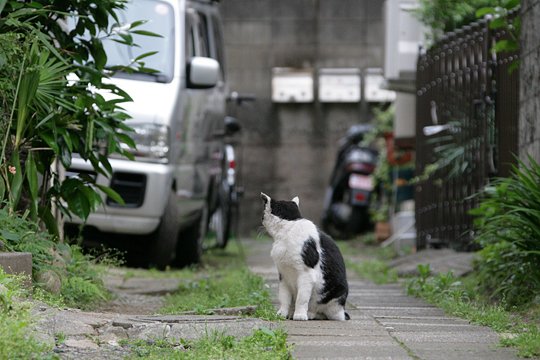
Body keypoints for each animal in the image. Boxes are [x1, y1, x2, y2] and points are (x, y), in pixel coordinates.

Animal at [260, 193, 350, 322]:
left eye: (262, 216)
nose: (261, 220)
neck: (290, 225)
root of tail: (342, 311)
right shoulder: (283, 275)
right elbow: (284, 297)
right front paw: (282, 314)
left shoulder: (306, 274)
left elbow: (301, 298)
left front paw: (300, 315)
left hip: (335, 296)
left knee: (326, 313)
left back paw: (309, 314)